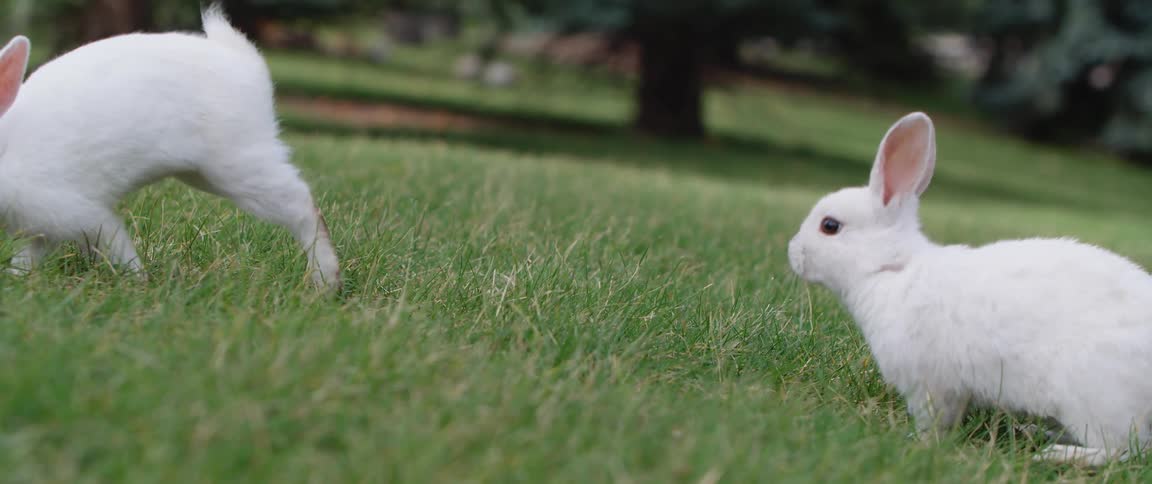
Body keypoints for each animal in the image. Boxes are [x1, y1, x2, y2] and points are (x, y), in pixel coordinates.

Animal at [0, 4, 340, 291]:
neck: (7, 151)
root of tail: (247, 66)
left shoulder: (81, 213)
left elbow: (116, 243)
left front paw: (138, 283)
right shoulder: (46, 226)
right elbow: (29, 256)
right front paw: (16, 278)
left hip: (238, 166)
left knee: (302, 206)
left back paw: (325, 283)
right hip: (204, 173)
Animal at [787, 112, 1152, 466]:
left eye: (830, 226)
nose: (793, 252)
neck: (893, 269)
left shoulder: (930, 386)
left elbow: (933, 422)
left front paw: (917, 442)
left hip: (1094, 399)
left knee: (1123, 449)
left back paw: (1057, 455)